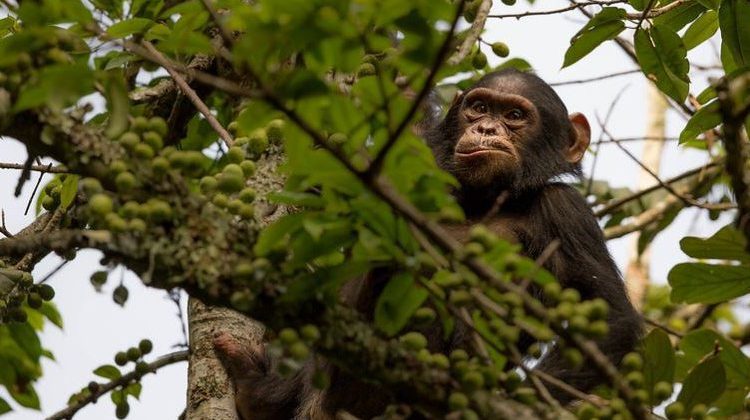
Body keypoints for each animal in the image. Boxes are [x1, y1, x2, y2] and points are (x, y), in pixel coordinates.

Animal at [214, 68, 642, 418]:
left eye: (515, 116)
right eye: (479, 107)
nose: (486, 129)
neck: (483, 198)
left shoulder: (568, 213)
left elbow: (609, 317)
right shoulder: (419, 153)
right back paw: (261, 392)